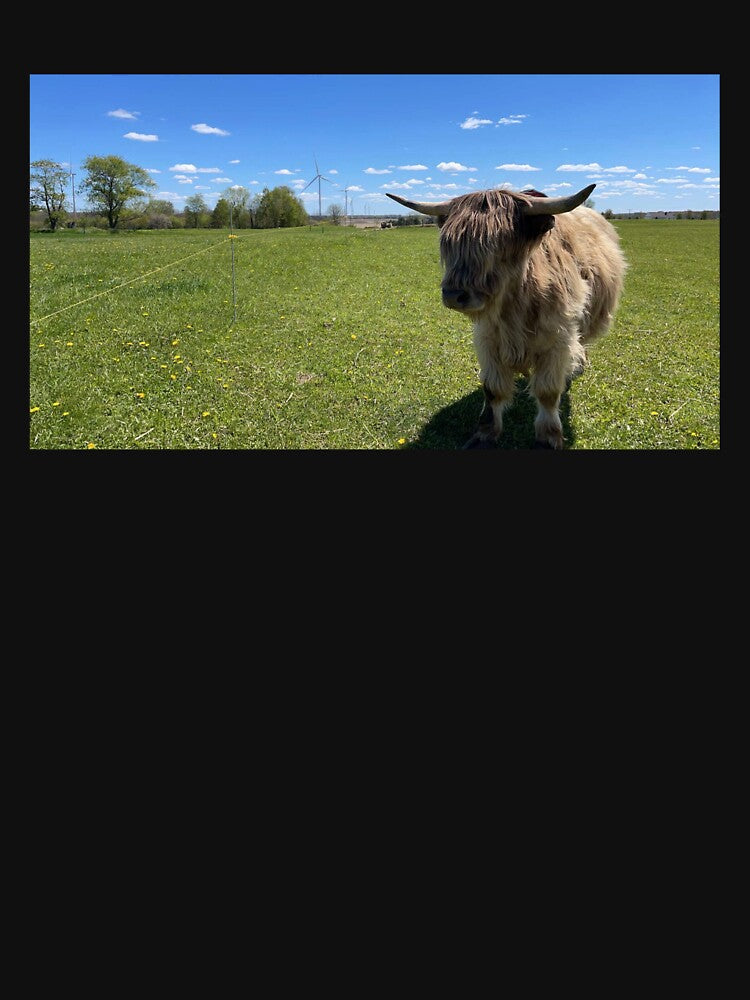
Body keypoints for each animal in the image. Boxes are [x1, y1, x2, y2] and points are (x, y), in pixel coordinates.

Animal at [386, 183, 626, 449]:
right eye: (449, 243)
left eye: (496, 243)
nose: (453, 295)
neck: (515, 306)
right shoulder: (487, 339)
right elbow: (493, 389)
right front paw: (485, 433)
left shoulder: (558, 340)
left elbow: (547, 392)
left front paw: (548, 436)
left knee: (582, 343)